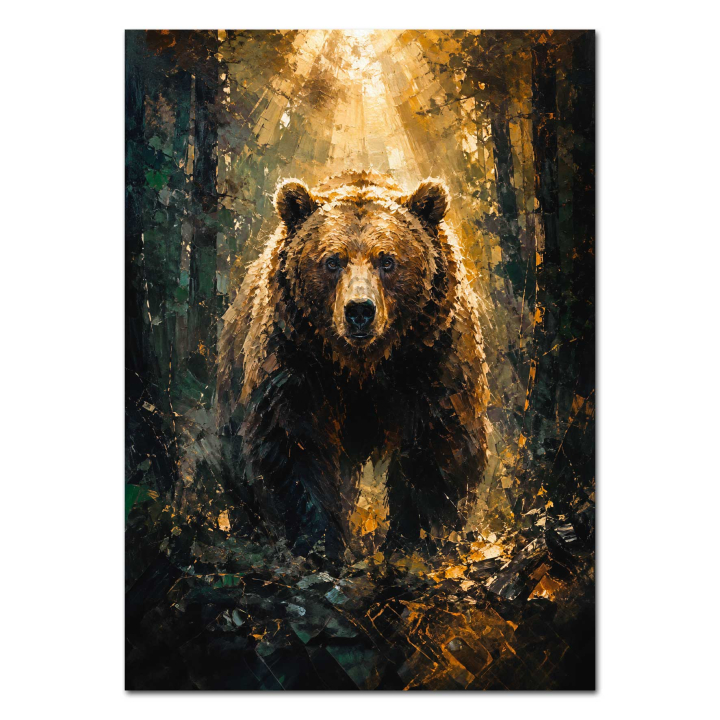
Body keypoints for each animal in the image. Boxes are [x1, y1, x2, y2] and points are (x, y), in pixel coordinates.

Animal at [216, 170, 489, 561]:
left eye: (387, 260)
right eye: (333, 261)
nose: (359, 310)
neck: (362, 365)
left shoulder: (432, 353)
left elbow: (437, 437)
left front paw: (414, 540)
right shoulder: (297, 359)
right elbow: (294, 441)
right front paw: (319, 542)